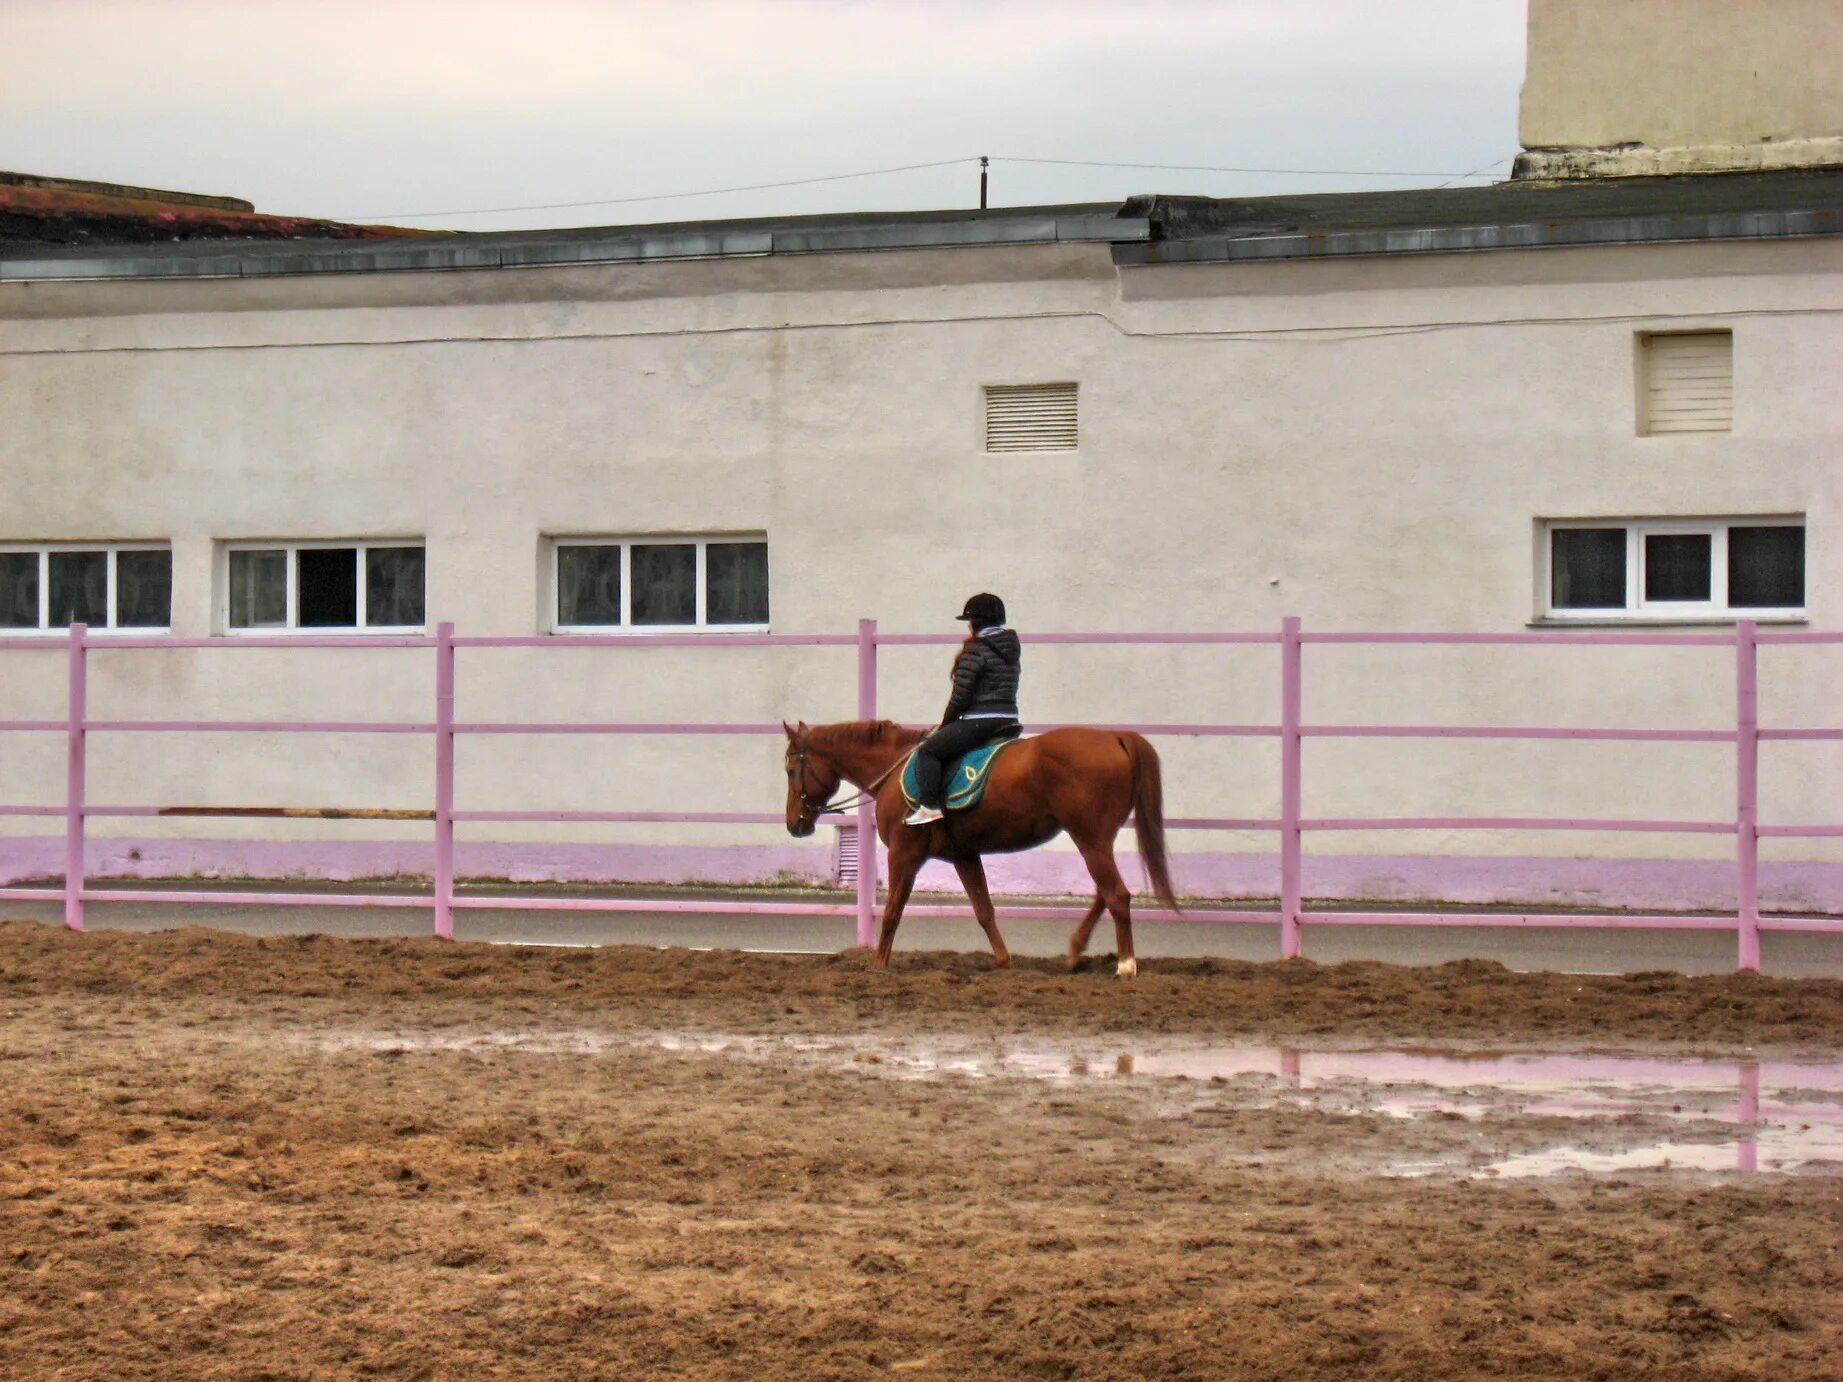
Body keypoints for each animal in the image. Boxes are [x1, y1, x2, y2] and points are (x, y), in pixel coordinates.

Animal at [781, 718, 1179, 980]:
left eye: (790, 768)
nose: (794, 824)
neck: (894, 771)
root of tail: (1116, 737)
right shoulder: (964, 855)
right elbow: (984, 909)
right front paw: (1004, 961)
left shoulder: (904, 855)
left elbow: (893, 910)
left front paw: (879, 965)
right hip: (1096, 840)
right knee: (1105, 893)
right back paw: (1076, 950)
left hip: (1091, 840)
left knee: (1116, 895)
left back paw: (1126, 964)